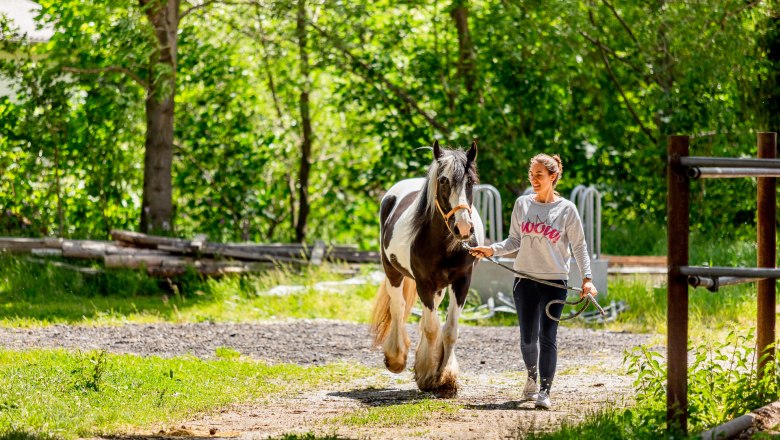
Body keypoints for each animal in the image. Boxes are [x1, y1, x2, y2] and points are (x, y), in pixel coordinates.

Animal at [370, 139, 484, 397]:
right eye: (443, 181)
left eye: (471, 182)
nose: (463, 228)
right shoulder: (423, 283)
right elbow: (432, 328)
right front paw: (431, 375)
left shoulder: (462, 282)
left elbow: (449, 330)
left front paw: (444, 376)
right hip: (392, 271)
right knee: (399, 307)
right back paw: (397, 357)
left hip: (439, 288)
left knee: (425, 317)